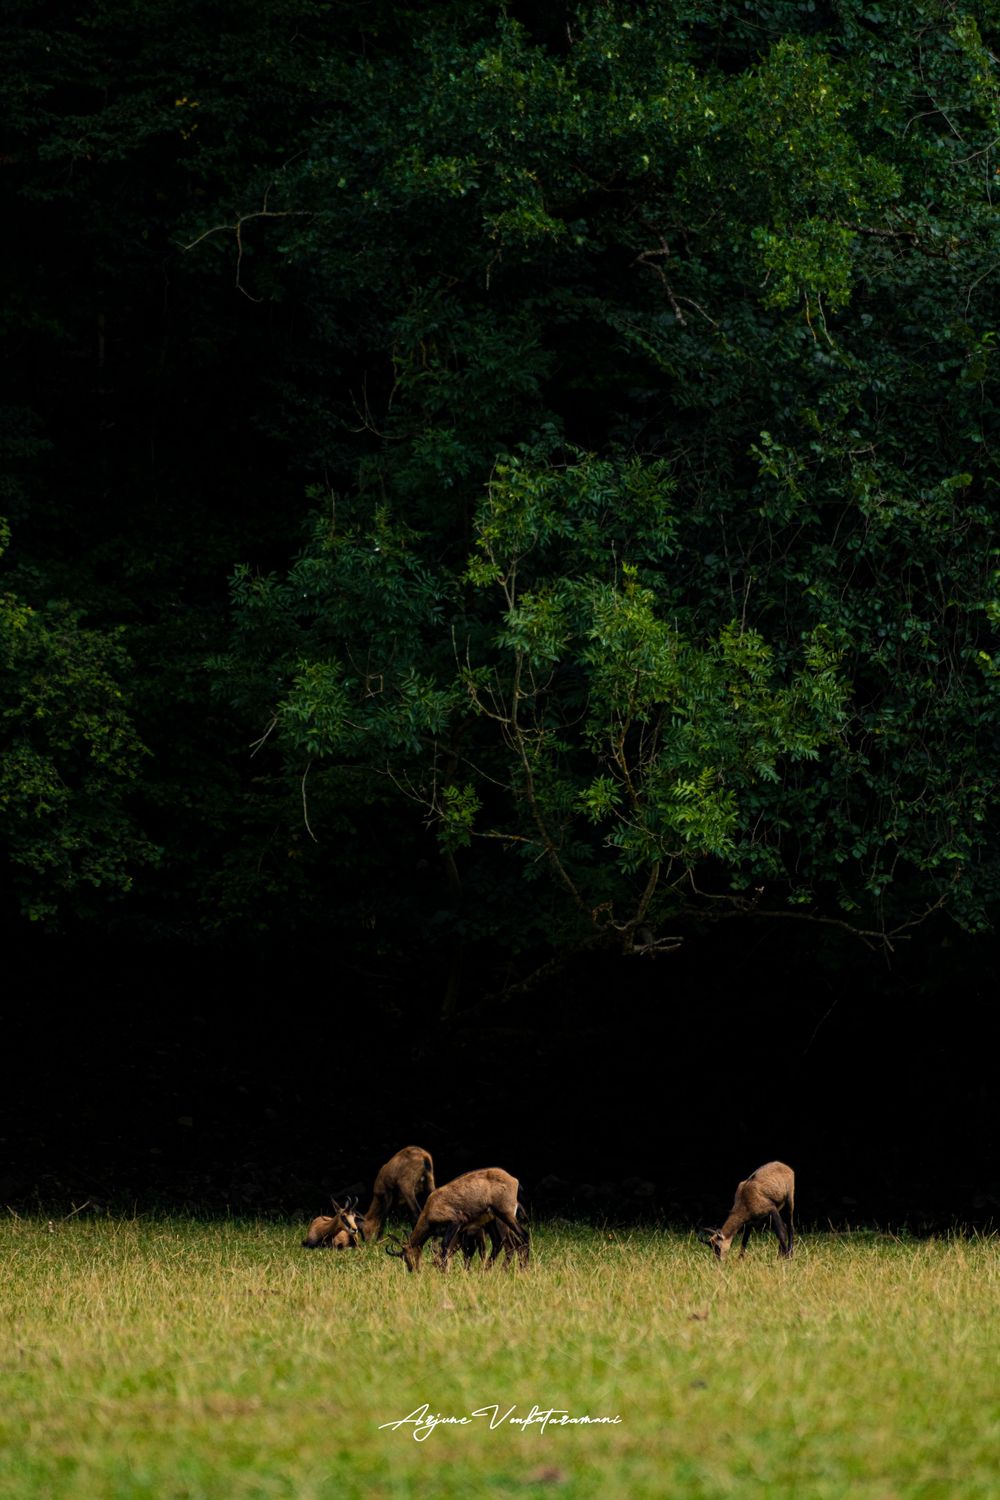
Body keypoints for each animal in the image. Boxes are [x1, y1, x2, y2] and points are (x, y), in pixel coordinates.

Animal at [385, 1167, 530, 1272]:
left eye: (405, 1256)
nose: (412, 1270)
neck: (430, 1208)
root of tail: (514, 1181)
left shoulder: (456, 1222)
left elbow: (445, 1245)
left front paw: (445, 1272)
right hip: (493, 1220)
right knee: (501, 1242)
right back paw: (488, 1270)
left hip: (505, 1215)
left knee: (523, 1236)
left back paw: (523, 1269)